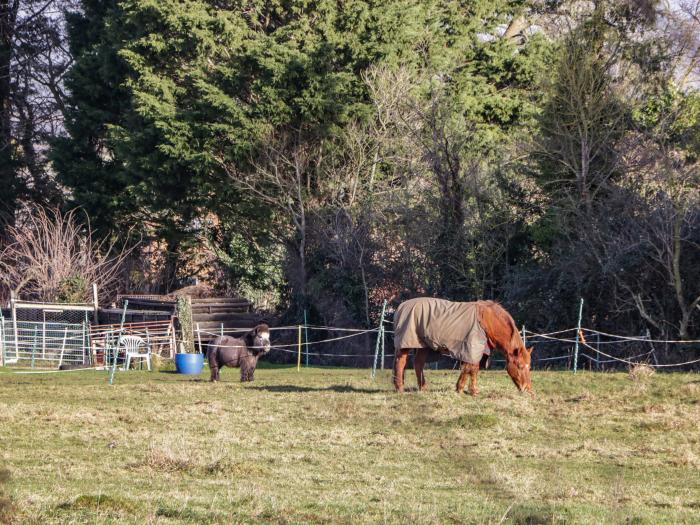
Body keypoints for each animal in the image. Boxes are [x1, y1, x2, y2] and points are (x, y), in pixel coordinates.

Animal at [392, 298, 532, 392]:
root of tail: (401, 307)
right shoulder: (471, 347)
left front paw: (471, 390)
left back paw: (423, 388)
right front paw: (462, 389)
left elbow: (473, 369)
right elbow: (469, 368)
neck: (488, 321)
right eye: (520, 366)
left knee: (418, 364)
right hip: (406, 344)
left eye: (529, 366)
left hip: (423, 346)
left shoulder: (478, 350)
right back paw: (400, 388)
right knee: (401, 362)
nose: (526, 387)